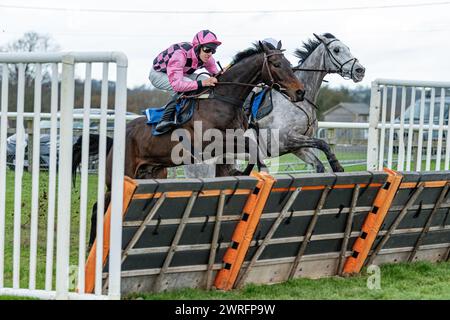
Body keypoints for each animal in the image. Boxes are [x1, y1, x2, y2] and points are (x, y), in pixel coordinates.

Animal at [184, 34, 366, 178]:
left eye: (347, 48)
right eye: (336, 50)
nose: (360, 70)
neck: (297, 102)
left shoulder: (298, 147)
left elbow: (318, 162)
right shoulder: (286, 138)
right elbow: (323, 143)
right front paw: (337, 165)